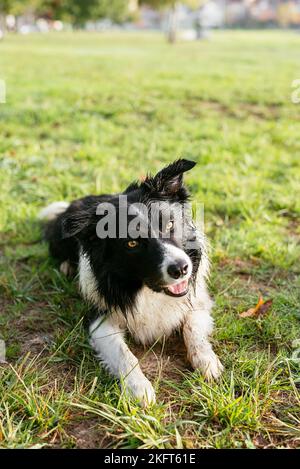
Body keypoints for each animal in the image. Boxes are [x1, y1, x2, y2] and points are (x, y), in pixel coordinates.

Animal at [39, 159, 223, 404]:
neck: (148, 290)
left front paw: (207, 361)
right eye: (132, 243)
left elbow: (193, 329)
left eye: (169, 225)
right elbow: (124, 354)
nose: (181, 268)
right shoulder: (99, 318)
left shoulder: (198, 301)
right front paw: (139, 388)